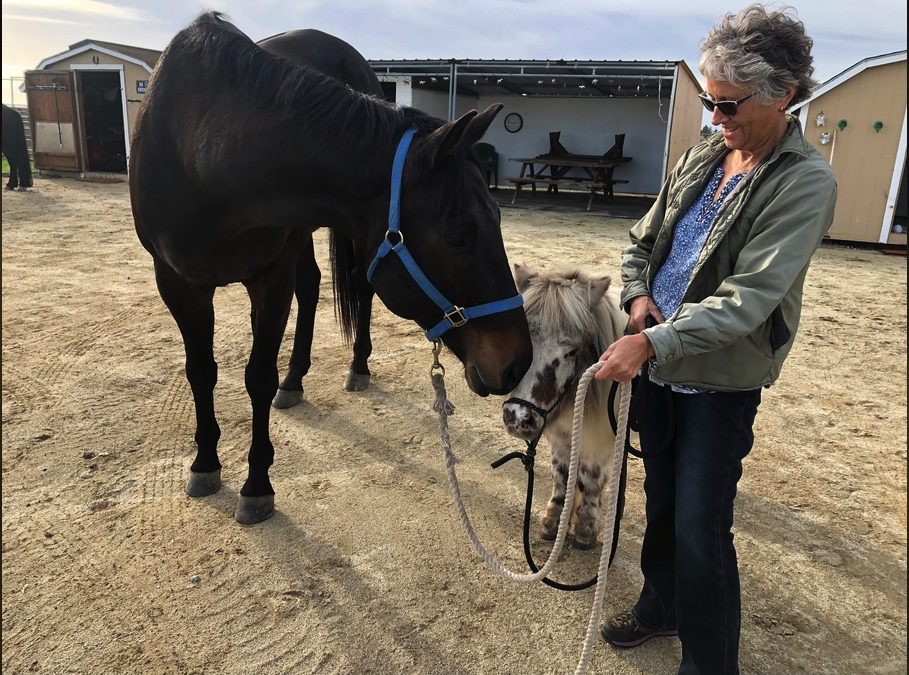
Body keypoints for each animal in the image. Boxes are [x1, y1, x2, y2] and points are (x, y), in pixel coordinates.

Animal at [502, 264, 627, 553]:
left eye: (570, 352)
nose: (517, 418)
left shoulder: (599, 439)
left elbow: (590, 477)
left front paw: (585, 528)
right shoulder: (560, 435)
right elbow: (562, 474)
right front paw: (554, 522)